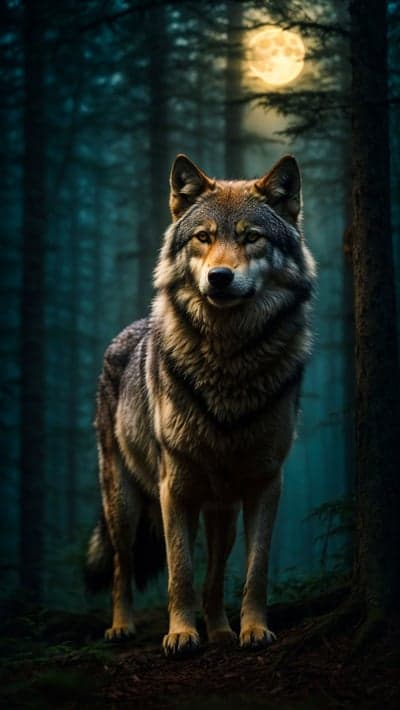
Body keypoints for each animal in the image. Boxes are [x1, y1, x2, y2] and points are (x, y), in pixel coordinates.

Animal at [86, 154, 316, 657]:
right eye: (204, 237)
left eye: (251, 237)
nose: (219, 277)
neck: (228, 363)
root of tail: (126, 331)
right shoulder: (175, 487)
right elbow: (180, 572)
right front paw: (180, 634)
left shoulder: (265, 482)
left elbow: (252, 571)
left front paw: (250, 629)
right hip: (124, 503)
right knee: (122, 566)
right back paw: (121, 626)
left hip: (220, 509)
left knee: (215, 572)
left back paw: (221, 630)